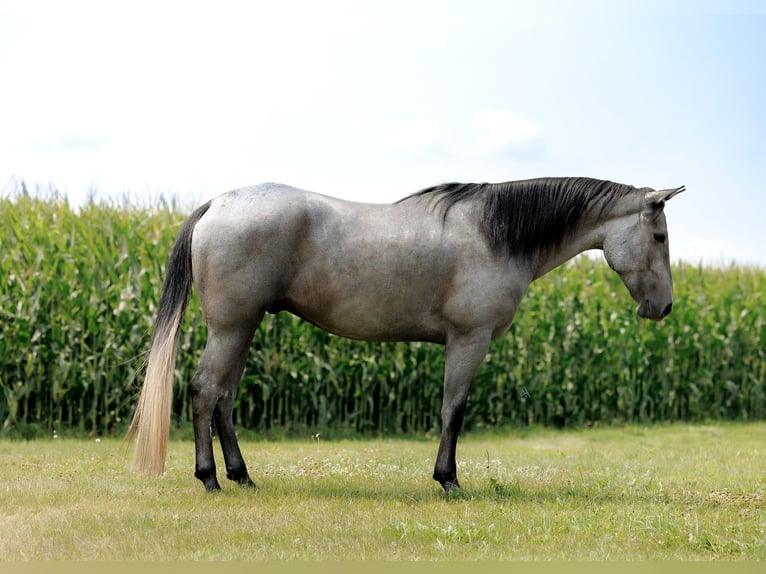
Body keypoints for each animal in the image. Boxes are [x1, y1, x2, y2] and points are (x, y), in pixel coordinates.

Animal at [129, 176, 684, 492]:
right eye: (659, 236)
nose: (664, 308)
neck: (495, 234)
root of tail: (218, 204)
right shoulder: (469, 340)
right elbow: (453, 410)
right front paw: (449, 481)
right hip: (232, 327)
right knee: (204, 390)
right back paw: (209, 479)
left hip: (245, 328)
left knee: (223, 397)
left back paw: (241, 476)